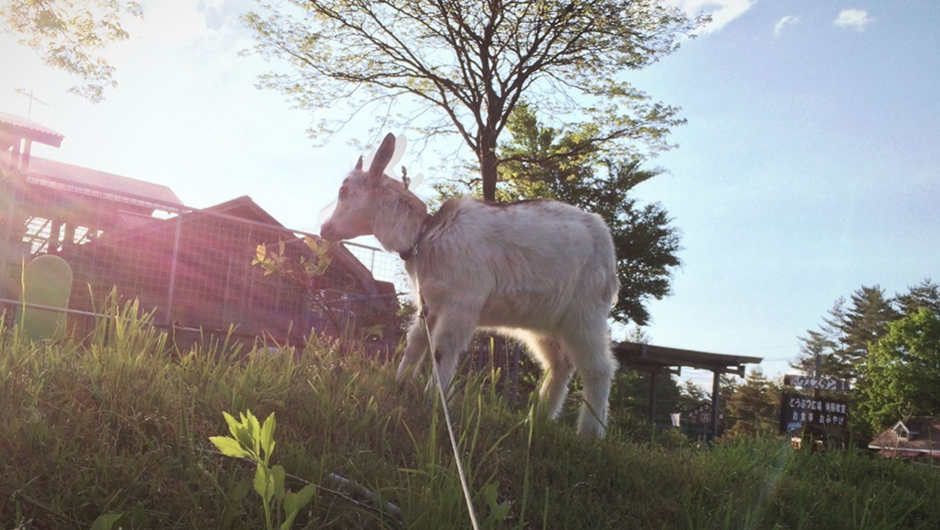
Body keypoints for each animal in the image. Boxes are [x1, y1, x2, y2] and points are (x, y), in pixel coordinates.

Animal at [320, 134, 620, 436]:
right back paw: (535, 420)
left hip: (586, 310)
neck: (424, 235)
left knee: (599, 368)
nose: (324, 230)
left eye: (344, 191)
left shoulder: (462, 301)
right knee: (560, 363)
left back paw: (589, 433)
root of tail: (606, 240)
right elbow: (417, 341)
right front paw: (401, 383)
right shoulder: (431, 303)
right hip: (545, 320)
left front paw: (436, 400)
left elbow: (443, 347)